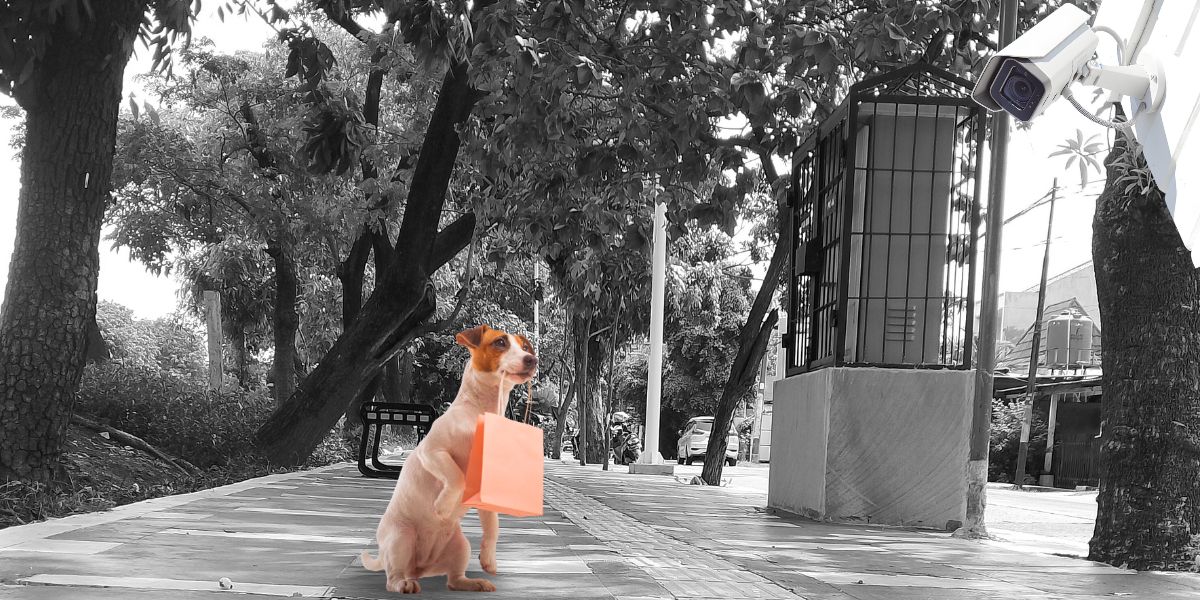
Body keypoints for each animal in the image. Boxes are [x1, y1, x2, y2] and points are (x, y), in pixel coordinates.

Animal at [361, 325, 538, 594]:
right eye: (500, 342)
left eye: (525, 347)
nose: (532, 359)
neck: (481, 411)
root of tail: (421, 568)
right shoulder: (432, 451)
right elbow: (457, 476)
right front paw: (443, 506)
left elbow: (493, 526)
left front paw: (489, 560)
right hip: (402, 537)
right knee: (393, 578)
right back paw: (404, 584)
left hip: (460, 544)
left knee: (454, 580)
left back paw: (474, 582)